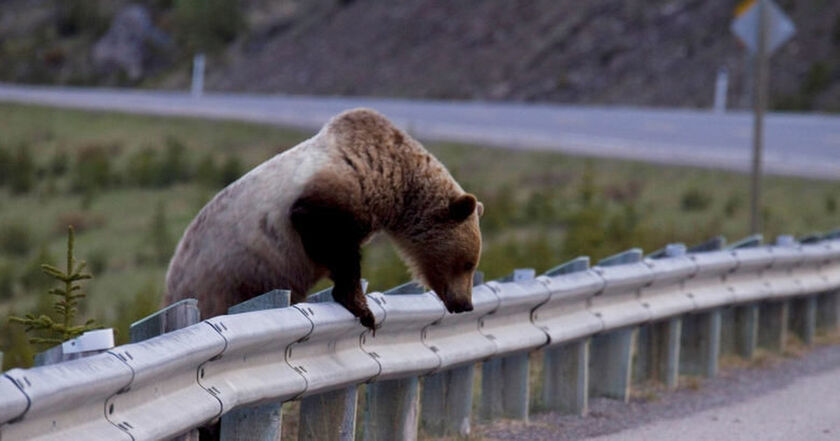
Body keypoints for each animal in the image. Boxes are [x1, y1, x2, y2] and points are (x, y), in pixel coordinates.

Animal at [166, 107, 480, 326]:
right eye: (468, 263)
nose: (465, 304)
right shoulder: (331, 193)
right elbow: (330, 240)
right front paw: (362, 308)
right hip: (224, 280)